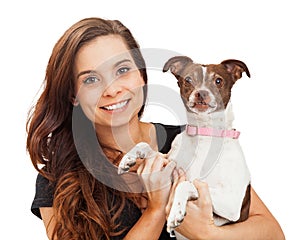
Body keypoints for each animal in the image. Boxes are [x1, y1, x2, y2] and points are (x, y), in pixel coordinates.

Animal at [118, 55, 252, 238]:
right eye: (188, 80)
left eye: (218, 81)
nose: (201, 93)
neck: (203, 133)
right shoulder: (169, 164)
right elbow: (147, 147)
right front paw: (128, 158)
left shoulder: (231, 203)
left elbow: (187, 184)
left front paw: (176, 212)